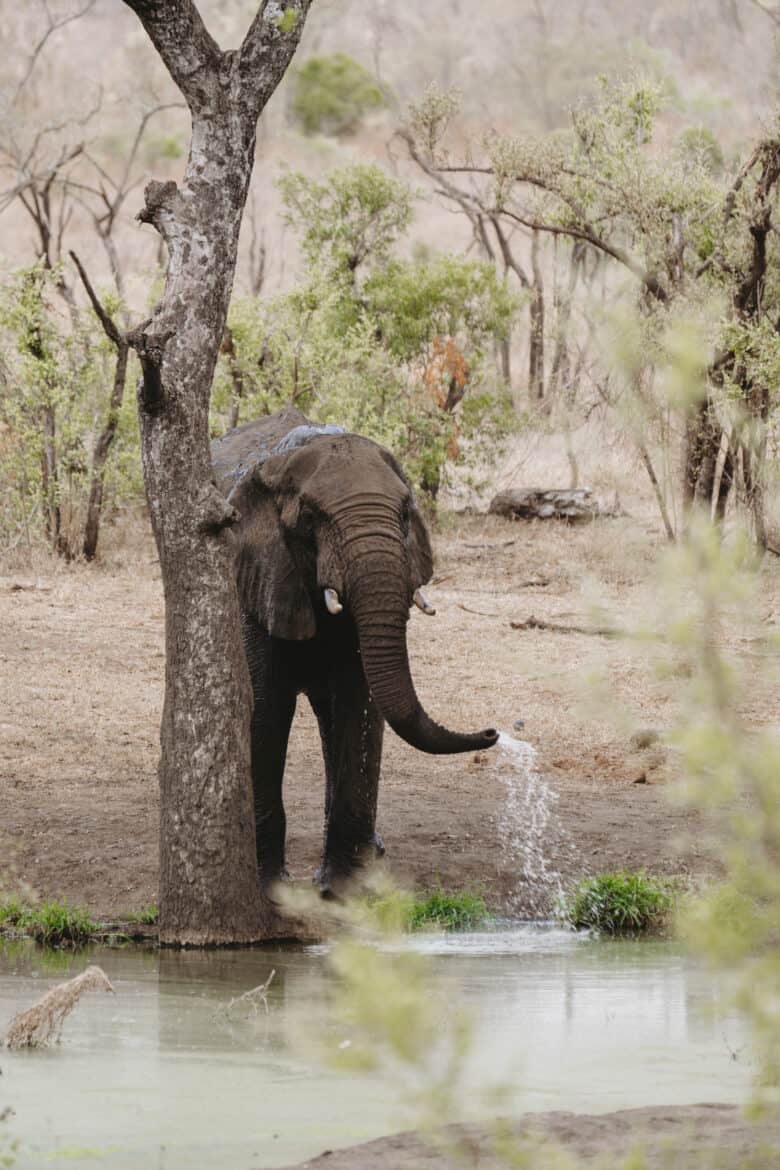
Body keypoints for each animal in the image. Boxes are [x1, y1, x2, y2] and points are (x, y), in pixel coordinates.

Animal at [210, 407, 498, 889]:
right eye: (310, 518)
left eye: (405, 515)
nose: (494, 732)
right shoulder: (255, 577)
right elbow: (266, 708)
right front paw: (270, 885)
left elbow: (358, 702)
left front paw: (341, 887)